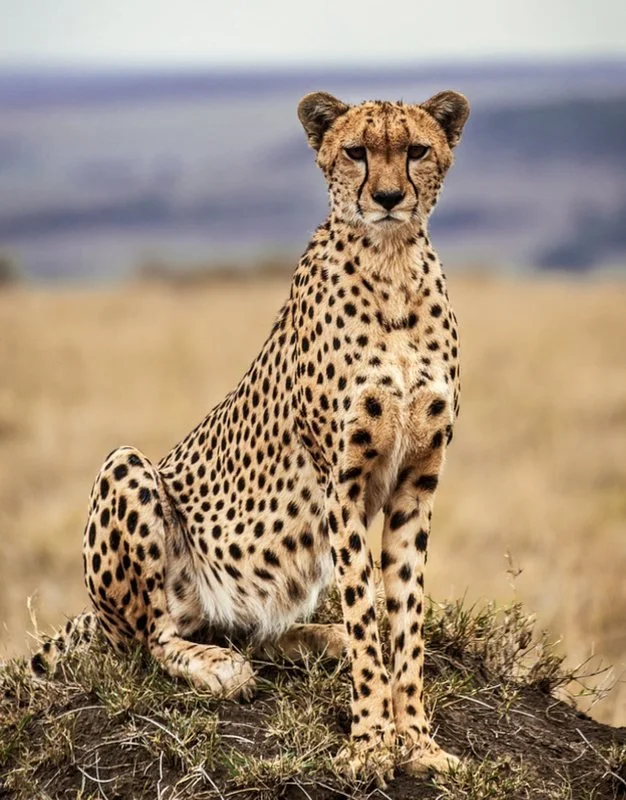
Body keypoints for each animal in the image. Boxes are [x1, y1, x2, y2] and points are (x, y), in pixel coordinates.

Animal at [30, 88, 470, 782]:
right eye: (356, 152)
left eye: (418, 151)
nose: (388, 197)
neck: (392, 263)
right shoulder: (342, 484)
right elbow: (367, 610)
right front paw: (372, 744)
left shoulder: (416, 487)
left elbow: (403, 618)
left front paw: (419, 742)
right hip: (127, 470)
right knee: (155, 640)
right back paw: (220, 667)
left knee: (256, 629)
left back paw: (316, 639)